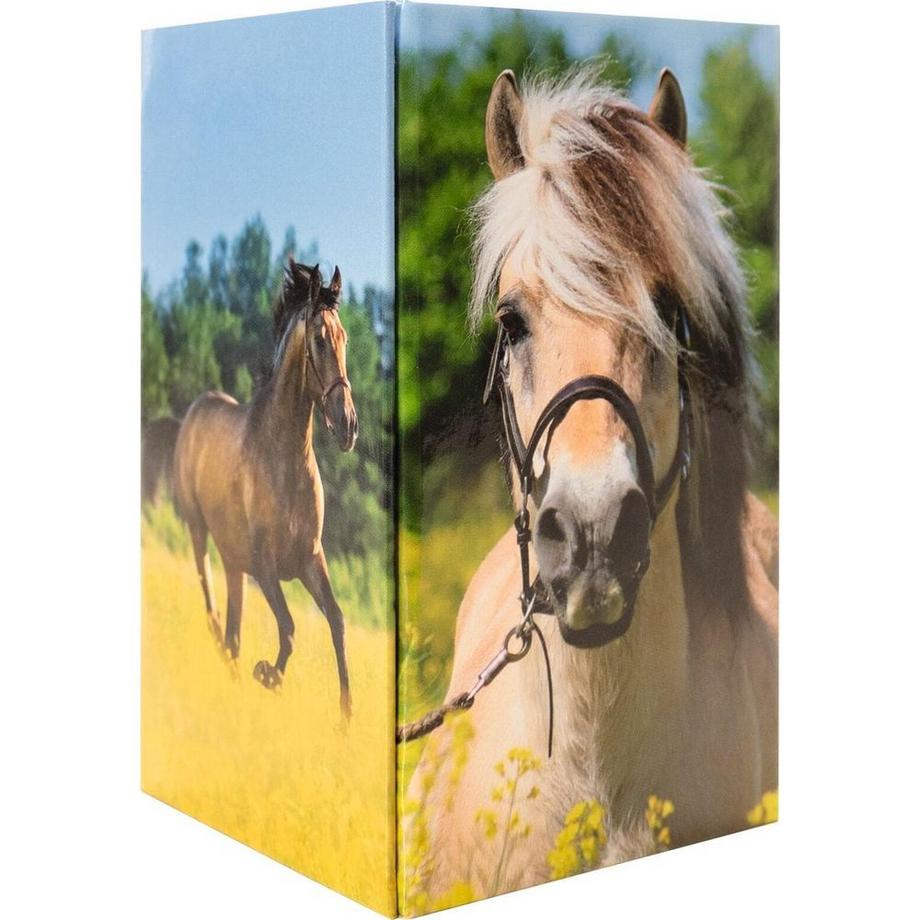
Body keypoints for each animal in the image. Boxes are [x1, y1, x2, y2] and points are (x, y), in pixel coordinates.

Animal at [174, 260, 358, 716]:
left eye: (345, 337)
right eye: (319, 339)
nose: (348, 426)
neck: (284, 460)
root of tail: (197, 407)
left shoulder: (310, 560)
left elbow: (337, 621)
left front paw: (346, 714)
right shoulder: (266, 564)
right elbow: (289, 628)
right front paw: (268, 676)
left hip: (234, 562)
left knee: (233, 631)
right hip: (199, 531)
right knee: (212, 607)